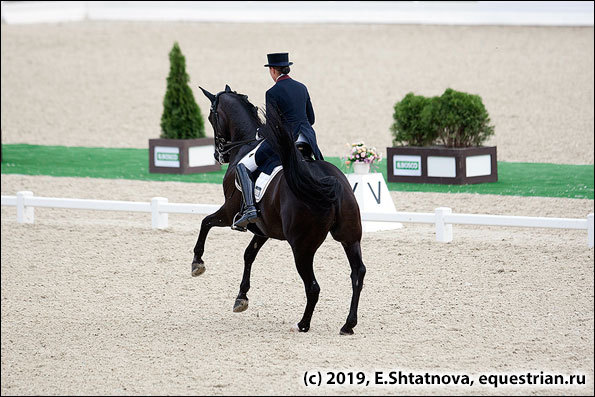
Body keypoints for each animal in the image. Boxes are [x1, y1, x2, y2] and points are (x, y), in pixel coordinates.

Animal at [193, 84, 366, 334]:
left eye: (210, 117)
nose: (219, 155)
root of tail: (329, 184)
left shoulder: (229, 212)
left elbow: (205, 222)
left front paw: (197, 263)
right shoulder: (263, 228)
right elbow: (248, 254)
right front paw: (241, 298)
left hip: (302, 248)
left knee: (313, 287)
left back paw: (303, 324)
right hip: (349, 237)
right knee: (357, 274)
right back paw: (348, 324)